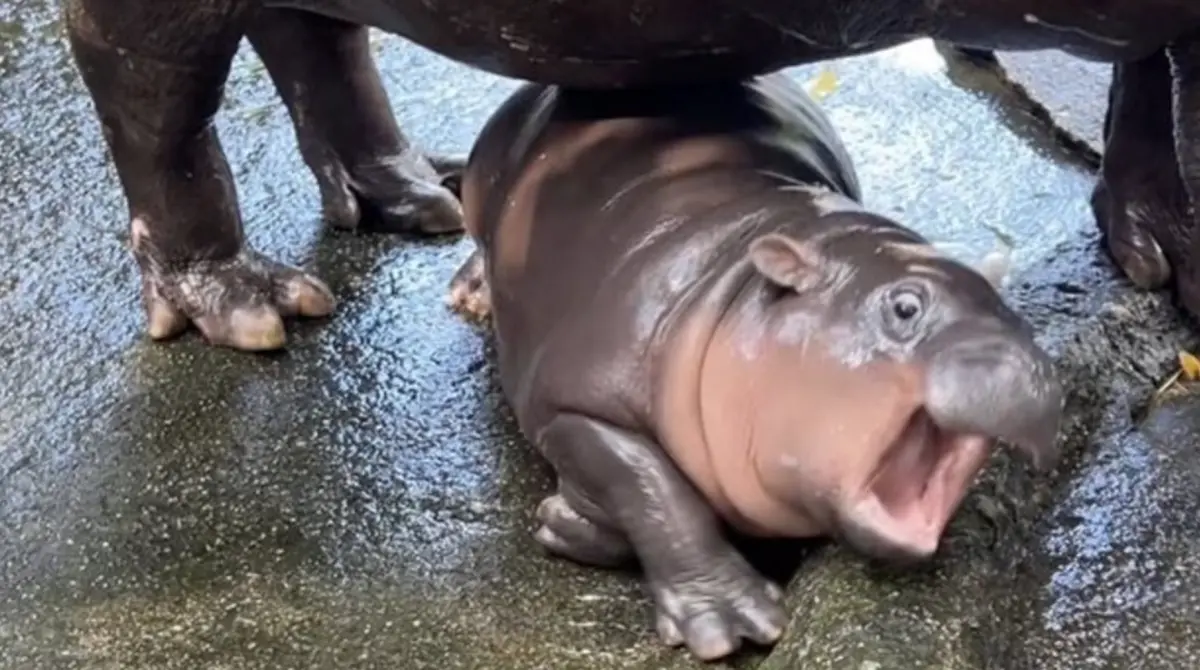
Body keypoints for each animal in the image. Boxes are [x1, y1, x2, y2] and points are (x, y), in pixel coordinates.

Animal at [63, 1, 1200, 353]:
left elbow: (1156, 81)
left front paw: (1168, 260)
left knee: (310, 35)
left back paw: (418, 197)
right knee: (149, 98)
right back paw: (253, 309)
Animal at [446, 72, 1065, 662]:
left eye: (1008, 308)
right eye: (905, 306)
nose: (1034, 370)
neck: (737, 283)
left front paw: (567, 522)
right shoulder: (572, 403)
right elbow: (654, 488)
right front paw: (730, 621)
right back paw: (472, 294)